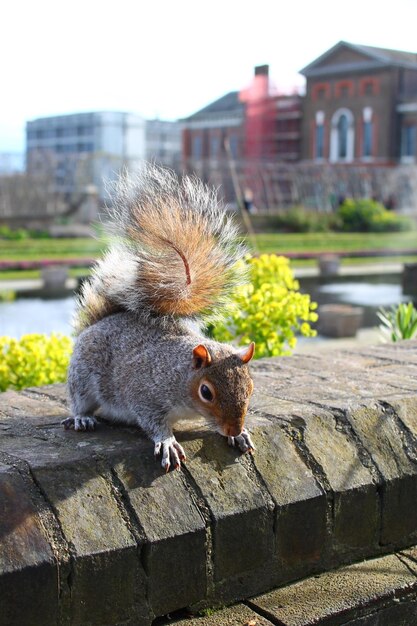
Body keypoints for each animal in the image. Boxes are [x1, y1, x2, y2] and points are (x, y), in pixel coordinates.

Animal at [62, 162, 255, 468]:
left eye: (250, 388)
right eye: (206, 392)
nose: (233, 428)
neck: (180, 375)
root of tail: (99, 322)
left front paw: (241, 435)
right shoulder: (145, 393)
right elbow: (152, 421)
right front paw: (167, 442)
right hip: (82, 376)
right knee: (80, 400)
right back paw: (82, 417)